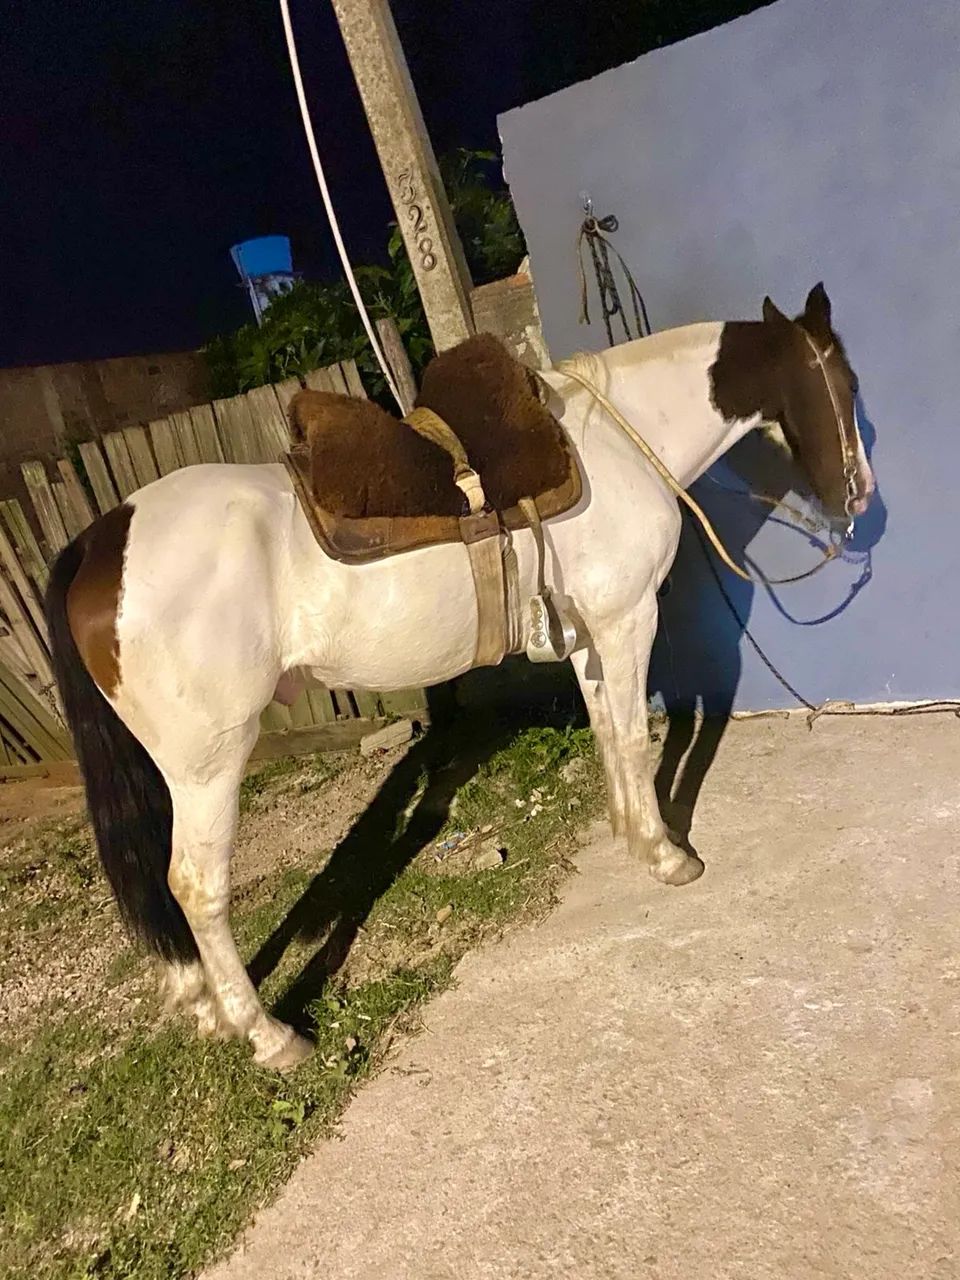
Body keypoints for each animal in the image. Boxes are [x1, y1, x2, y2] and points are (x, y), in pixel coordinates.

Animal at [45, 282, 874, 1070]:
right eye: (844, 380)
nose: (860, 494)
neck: (620, 437)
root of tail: (100, 540)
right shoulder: (628, 619)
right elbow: (638, 738)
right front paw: (667, 854)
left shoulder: (588, 633)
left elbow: (608, 732)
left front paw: (628, 834)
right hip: (208, 764)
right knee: (196, 885)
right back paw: (270, 1037)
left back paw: (210, 1012)